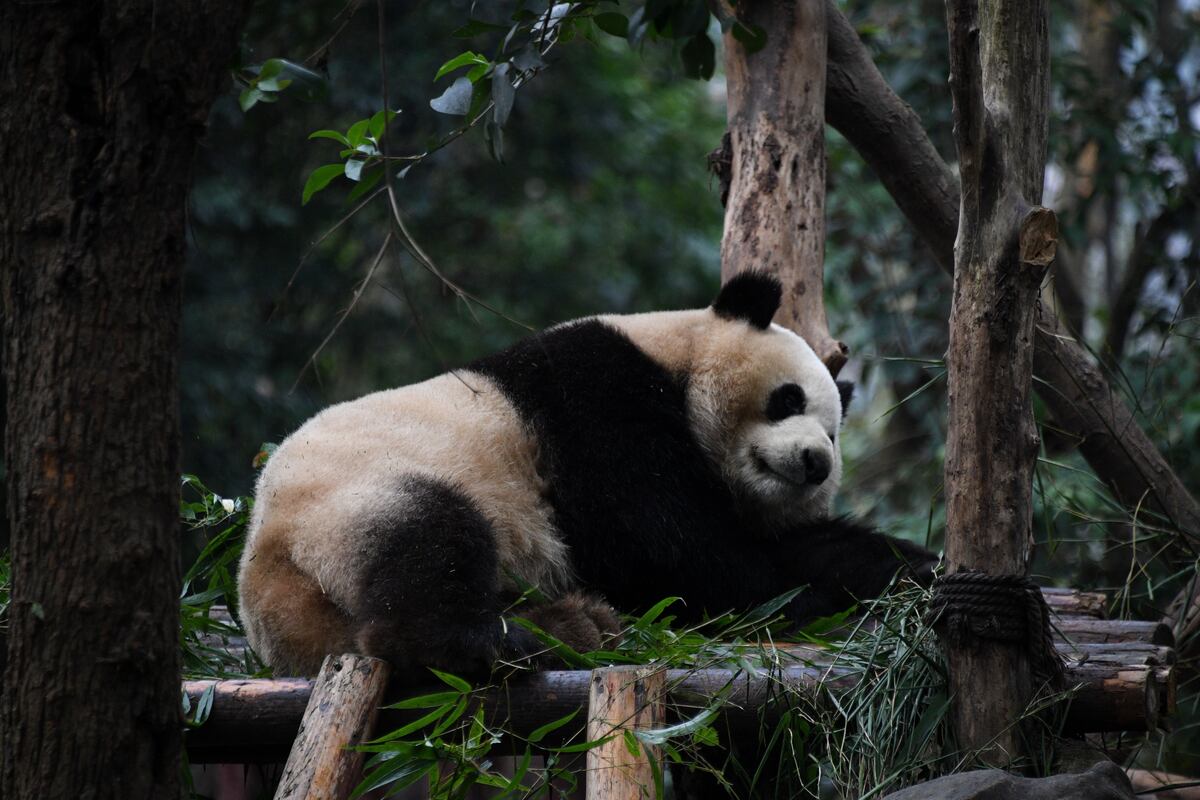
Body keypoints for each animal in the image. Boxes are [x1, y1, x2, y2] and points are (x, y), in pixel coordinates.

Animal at [238, 271, 935, 678]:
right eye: (788, 399)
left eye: (836, 434)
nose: (816, 462)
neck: (675, 357)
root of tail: (267, 601)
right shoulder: (596, 400)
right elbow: (667, 547)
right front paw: (806, 602)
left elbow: (799, 544)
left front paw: (906, 570)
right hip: (353, 499)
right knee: (427, 546)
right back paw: (520, 639)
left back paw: (570, 623)